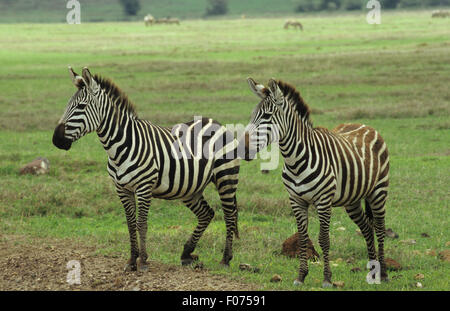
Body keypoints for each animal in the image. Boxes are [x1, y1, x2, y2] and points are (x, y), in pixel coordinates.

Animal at [52, 67, 241, 272]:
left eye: (81, 106)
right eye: (67, 105)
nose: (56, 140)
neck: (121, 145)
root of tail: (216, 122)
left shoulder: (144, 187)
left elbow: (141, 223)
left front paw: (142, 260)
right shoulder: (122, 189)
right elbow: (130, 223)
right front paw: (131, 260)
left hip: (225, 177)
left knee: (229, 215)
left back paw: (226, 258)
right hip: (191, 188)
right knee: (207, 214)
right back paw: (186, 254)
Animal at [241, 77, 388, 288]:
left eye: (267, 116)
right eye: (253, 116)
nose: (242, 149)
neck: (295, 160)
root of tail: (366, 125)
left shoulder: (323, 201)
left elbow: (324, 239)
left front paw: (327, 278)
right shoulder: (296, 201)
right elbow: (303, 239)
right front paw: (301, 276)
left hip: (379, 192)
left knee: (380, 228)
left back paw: (383, 273)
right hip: (352, 200)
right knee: (367, 229)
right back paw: (372, 270)